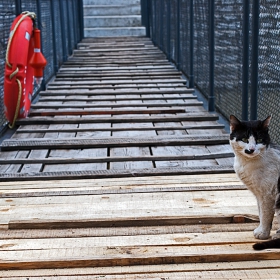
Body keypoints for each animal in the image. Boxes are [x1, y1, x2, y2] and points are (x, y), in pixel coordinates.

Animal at [229, 114, 280, 249]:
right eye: (244, 138)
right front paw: (261, 230)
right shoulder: (258, 194)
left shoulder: (268, 194)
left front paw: (263, 233)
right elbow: (260, 213)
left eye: (259, 139)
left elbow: (266, 214)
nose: (251, 149)